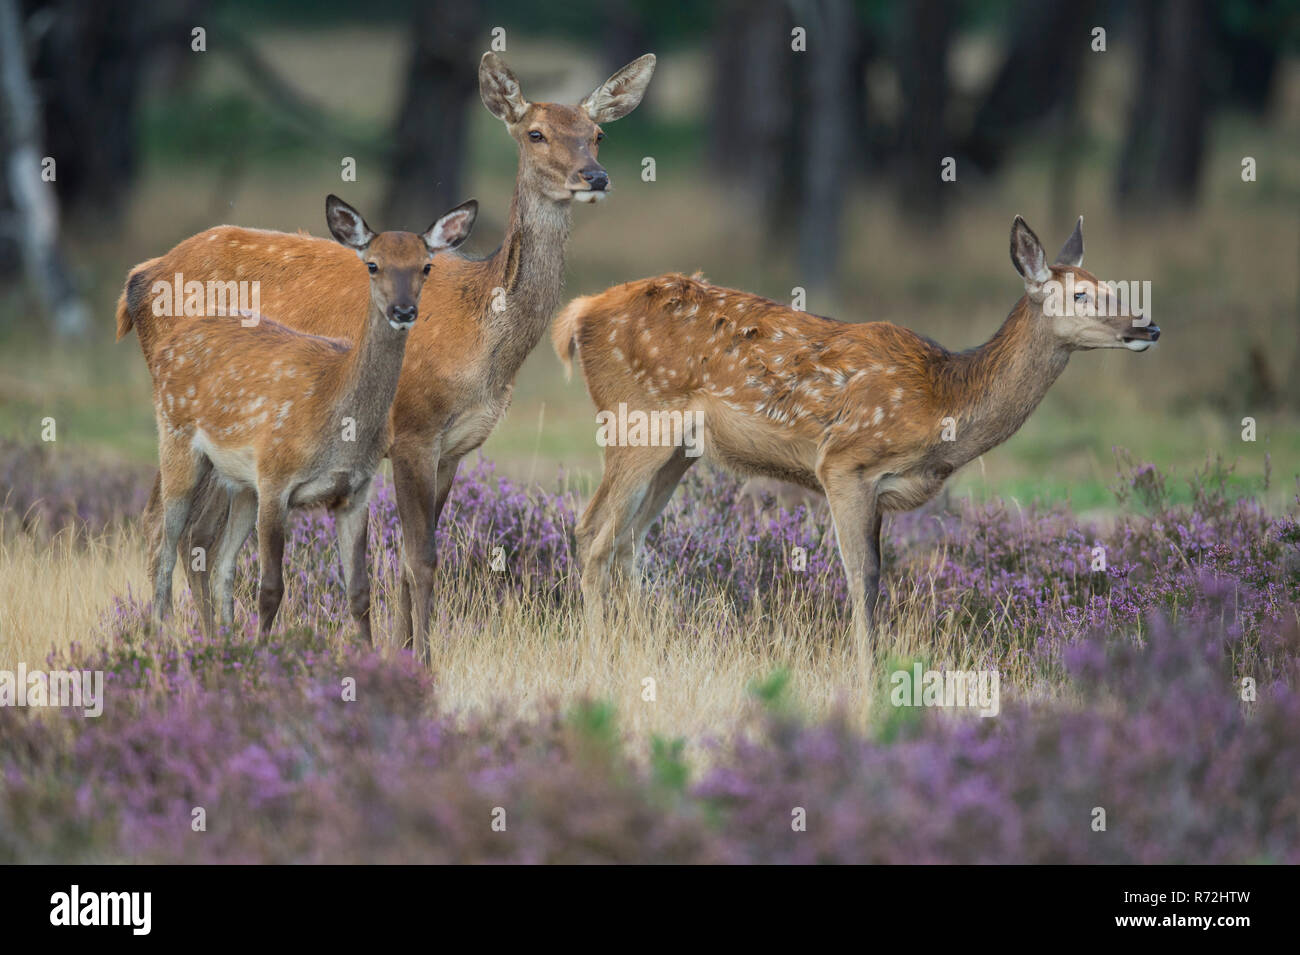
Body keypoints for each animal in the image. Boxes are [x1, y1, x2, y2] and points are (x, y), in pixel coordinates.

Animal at [133, 196, 478, 634]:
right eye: (373, 264)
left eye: (426, 266)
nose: (403, 310)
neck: (337, 420)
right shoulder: (276, 478)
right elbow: (271, 589)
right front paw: (261, 648)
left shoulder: (355, 491)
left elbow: (359, 592)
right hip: (177, 440)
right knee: (164, 542)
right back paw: (163, 635)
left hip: (240, 483)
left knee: (220, 560)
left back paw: (222, 638)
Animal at [553, 216, 1164, 660]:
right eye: (1080, 296)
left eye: (1111, 287)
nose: (1148, 325)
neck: (943, 403)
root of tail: (578, 314)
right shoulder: (845, 462)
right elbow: (862, 576)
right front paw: (867, 672)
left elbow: (877, 576)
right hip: (637, 419)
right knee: (594, 531)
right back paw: (601, 656)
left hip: (679, 450)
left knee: (627, 539)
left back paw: (639, 649)